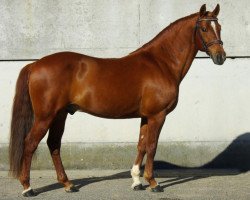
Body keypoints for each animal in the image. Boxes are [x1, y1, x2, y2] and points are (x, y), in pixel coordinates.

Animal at [8, 3, 226, 196]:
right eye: (204, 28)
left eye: (220, 28)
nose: (221, 57)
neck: (160, 63)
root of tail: (35, 64)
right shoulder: (158, 115)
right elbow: (152, 146)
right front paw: (153, 182)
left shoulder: (145, 116)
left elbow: (141, 145)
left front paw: (137, 181)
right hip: (45, 117)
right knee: (30, 144)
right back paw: (28, 187)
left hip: (60, 115)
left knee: (54, 144)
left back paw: (68, 184)